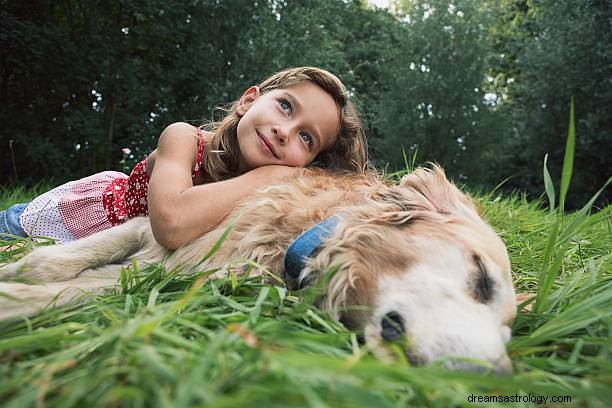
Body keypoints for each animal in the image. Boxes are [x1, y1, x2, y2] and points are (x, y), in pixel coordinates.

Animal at [0, 166, 516, 372]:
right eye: (482, 279)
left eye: (509, 332)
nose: (498, 379)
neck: (302, 237)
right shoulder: (156, 229)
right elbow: (61, 263)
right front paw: (19, 282)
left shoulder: (198, 273)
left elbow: (95, 287)